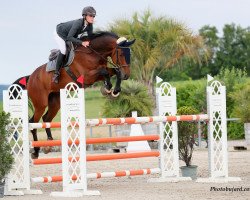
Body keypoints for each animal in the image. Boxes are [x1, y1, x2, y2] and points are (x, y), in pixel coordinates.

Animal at [13, 31, 135, 159]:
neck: (93, 53)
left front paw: (114, 91)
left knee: (46, 118)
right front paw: (107, 88)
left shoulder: (99, 73)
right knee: (33, 122)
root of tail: (30, 77)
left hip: (55, 101)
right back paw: (35, 151)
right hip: (40, 103)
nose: (127, 75)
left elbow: (114, 71)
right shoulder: (87, 77)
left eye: (130, 54)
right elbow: (105, 72)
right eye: (121, 54)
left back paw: (49, 144)